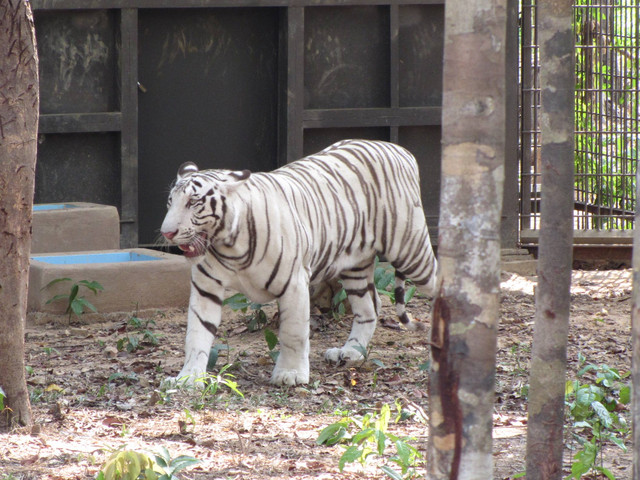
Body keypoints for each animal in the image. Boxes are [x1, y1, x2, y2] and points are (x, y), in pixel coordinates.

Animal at [161, 139, 440, 386]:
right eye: (170, 202)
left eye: (193, 202)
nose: (167, 232)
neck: (228, 245)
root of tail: (399, 149)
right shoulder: (206, 288)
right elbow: (197, 334)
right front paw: (188, 378)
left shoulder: (293, 284)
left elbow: (293, 333)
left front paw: (290, 374)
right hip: (356, 266)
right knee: (370, 307)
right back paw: (351, 352)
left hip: (412, 251)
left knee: (439, 282)